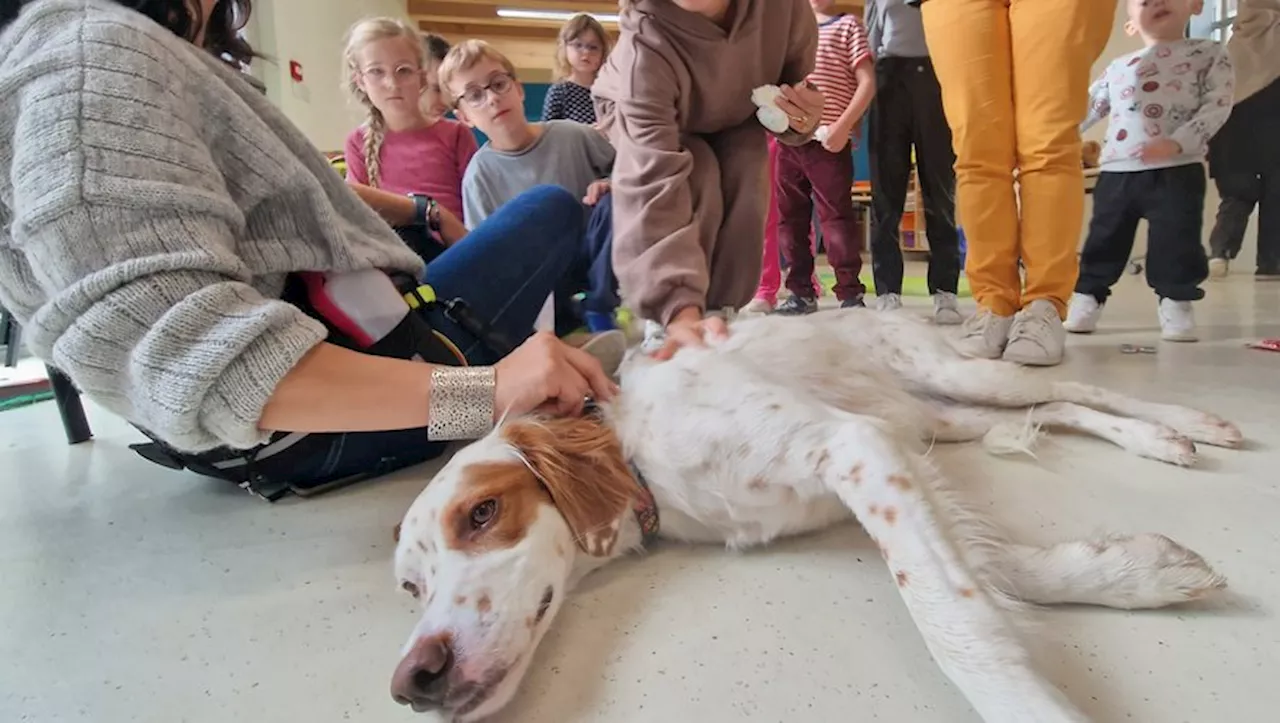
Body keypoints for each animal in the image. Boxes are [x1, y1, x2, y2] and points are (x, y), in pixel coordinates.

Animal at [386, 309, 1239, 721]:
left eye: (482, 513)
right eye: (410, 587)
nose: (412, 678)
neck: (641, 454)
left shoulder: (856, 444)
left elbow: (957, 627)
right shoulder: (888, 455)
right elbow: (997, 571)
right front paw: (1136, 571)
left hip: (958, 378)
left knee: (1074, 389)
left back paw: (1181, 424)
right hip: (940, 416)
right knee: (1053, 408)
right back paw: (1162, 437)